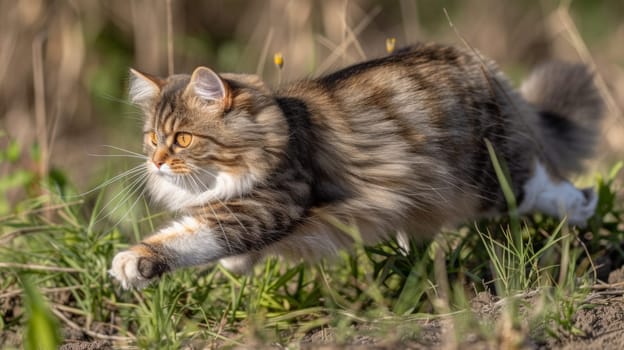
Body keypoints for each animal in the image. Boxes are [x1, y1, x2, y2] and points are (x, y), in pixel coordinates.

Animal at [109, 42, 604, 288]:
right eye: (152, 138)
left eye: (183, 139)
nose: (156, 162)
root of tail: (473, 58)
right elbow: (220, 245)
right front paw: (238, 265)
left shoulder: (269, 204)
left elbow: (190, 238)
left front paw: (134, 261)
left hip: (491, 181)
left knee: (544, 185)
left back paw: (582, 207)